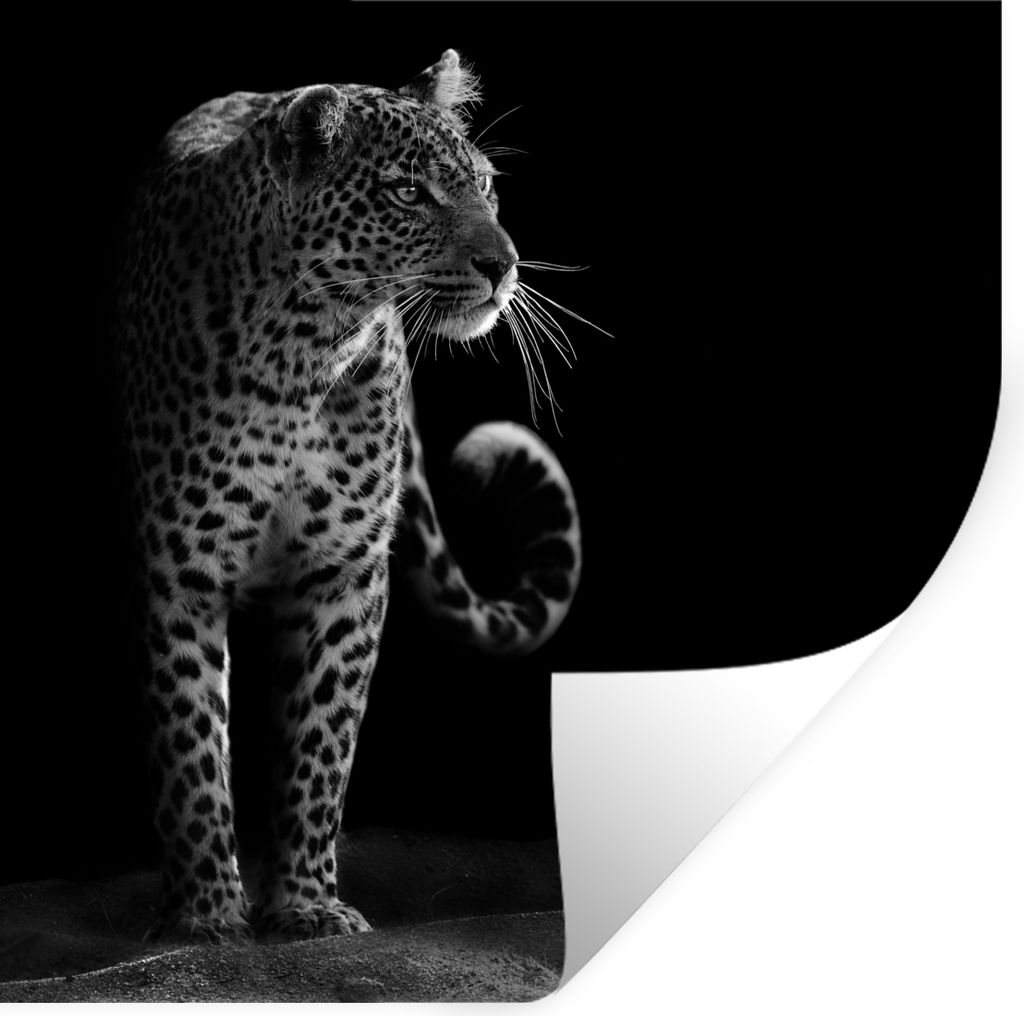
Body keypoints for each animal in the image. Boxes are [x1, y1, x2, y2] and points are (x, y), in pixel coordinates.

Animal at [116, 49, 582, 943]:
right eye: (408, 192)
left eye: (485, 185)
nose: (504, 265)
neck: (304, 348)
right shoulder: (180, 568)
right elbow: (191, 742)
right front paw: (205, 914)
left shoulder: (344, 572)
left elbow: (320, 742)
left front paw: (304, 903)